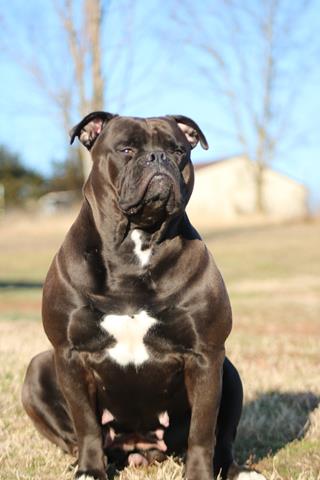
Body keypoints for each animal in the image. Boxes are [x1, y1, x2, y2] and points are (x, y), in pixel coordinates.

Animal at [22, 113, 264, 480]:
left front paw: (198, 474)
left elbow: (203, 431)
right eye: (126, 149)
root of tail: (142, 450)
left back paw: (238, 470)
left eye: (178, 150)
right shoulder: (69, 353)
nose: (158, 157)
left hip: (230, 373)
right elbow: (86, 424)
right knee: (78, 435)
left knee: (221, 438)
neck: (135, 244)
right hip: (37, 370)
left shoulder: (206, 355)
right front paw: (90, 470)